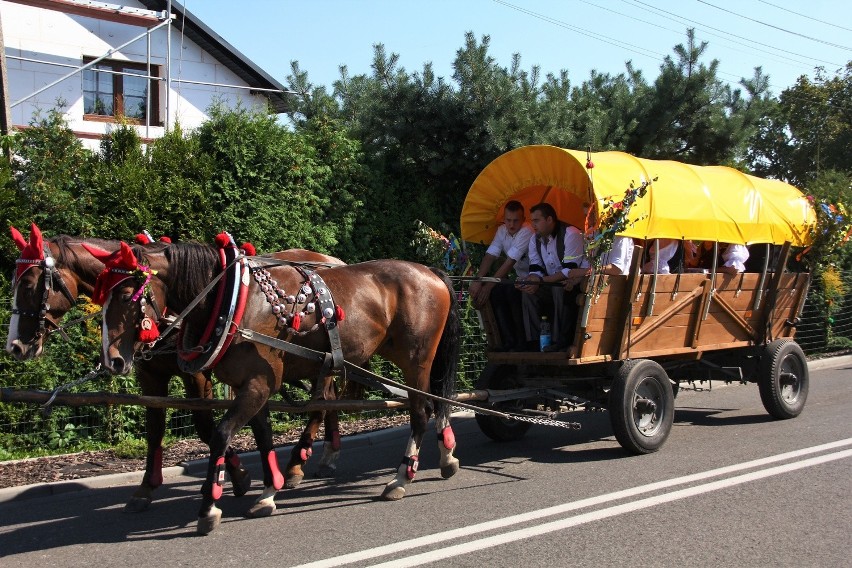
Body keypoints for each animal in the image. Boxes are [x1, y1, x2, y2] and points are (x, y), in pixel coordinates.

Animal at [5, 224, 346, 512]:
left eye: (31, 285)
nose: (15, 346)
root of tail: (332, 260)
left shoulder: (196, 374)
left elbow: (205, 426)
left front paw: (236, 475)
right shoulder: (150, 375)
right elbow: (155, 429)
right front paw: (146, 488)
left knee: (322, 402)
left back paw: (298, 463)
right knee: (328, 400)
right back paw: (327, 452)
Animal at [92, 239, 460, 532]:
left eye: (126, 294)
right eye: (102, 296)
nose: (112, 360)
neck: (234, 300)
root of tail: (429, 271)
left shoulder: (256, 385)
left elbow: (221, 435)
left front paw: (210, 506)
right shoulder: (253, 387)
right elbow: (263, 437)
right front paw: (269, 492)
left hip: (416, 360)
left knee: (420, 412)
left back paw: (401, 477)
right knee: (434, 403)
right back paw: (445, 457)